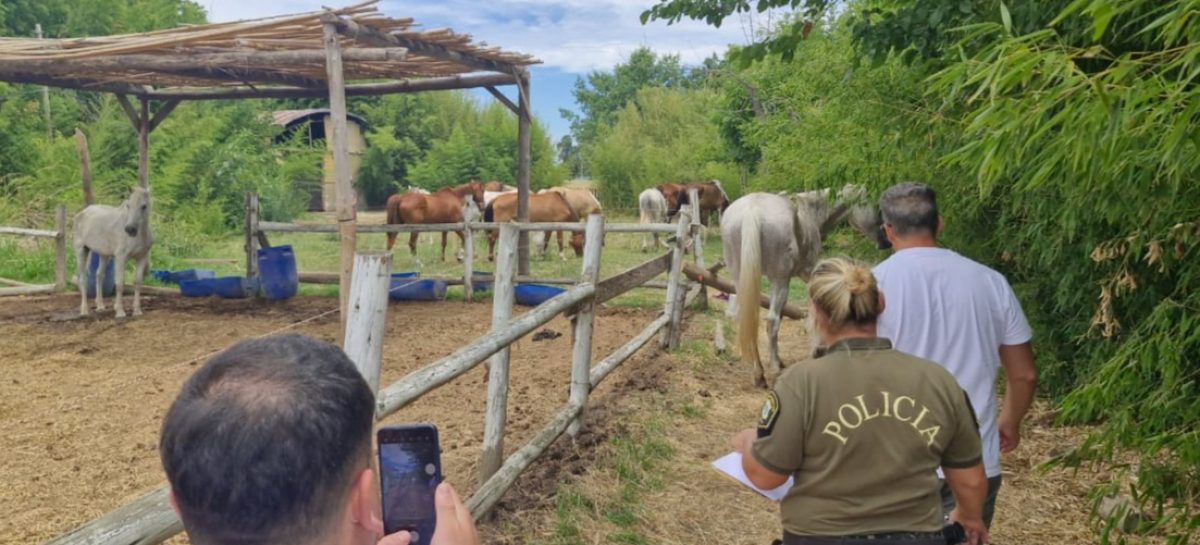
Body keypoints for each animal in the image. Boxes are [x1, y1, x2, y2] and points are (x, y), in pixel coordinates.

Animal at [73, 187, 152, 316]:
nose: (130, 229)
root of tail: (83, 212)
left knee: (99, 275)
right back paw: (84, 310)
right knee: (83, 279)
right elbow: (120, 283)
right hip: (81, 250)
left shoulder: (142, 257)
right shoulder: (121, 257)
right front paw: (120, 311)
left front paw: (137, 310)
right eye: (128, 205)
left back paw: (100, 306)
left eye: (144, 206)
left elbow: (138, 283)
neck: (138, 236)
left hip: (103, 255)